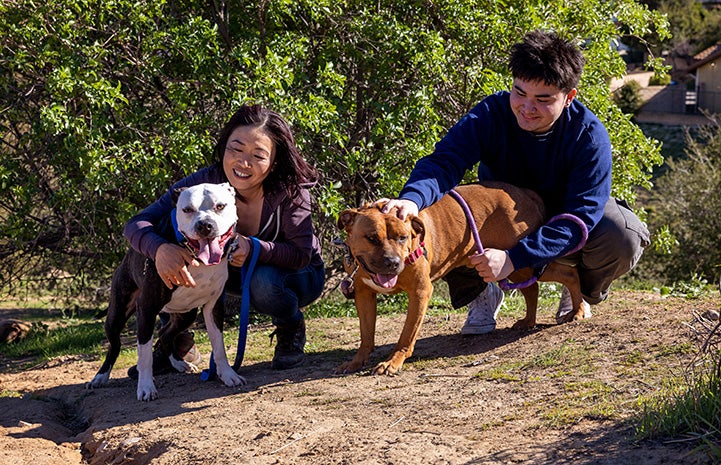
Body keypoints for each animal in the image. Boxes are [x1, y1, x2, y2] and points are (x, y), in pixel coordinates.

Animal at [87, 181, 248, 398]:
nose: (204, 225)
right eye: (187, 210)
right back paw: (100, 377)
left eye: (220, 206)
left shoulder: (213, 306)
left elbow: (219, 346)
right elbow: (144, 354)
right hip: (117, 313)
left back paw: (180, 364)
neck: (196, 257)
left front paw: (228, 374)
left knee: (165, 335)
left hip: (186, 314)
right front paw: (146, 387)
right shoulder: (146, 308)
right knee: (115, 345)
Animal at [338, 181, 584, 374]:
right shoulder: (363, 294)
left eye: (402, 237)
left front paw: (393, 362)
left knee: (569, 273)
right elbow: (366, 333)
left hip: (521, 260)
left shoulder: (420, 292)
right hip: (513, 268)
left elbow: (407, 334)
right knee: (532, 289)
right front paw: (357, 360)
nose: (393, 262)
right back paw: (529, 321)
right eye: (371, 238)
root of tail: (525, 193)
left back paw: (577, 311)